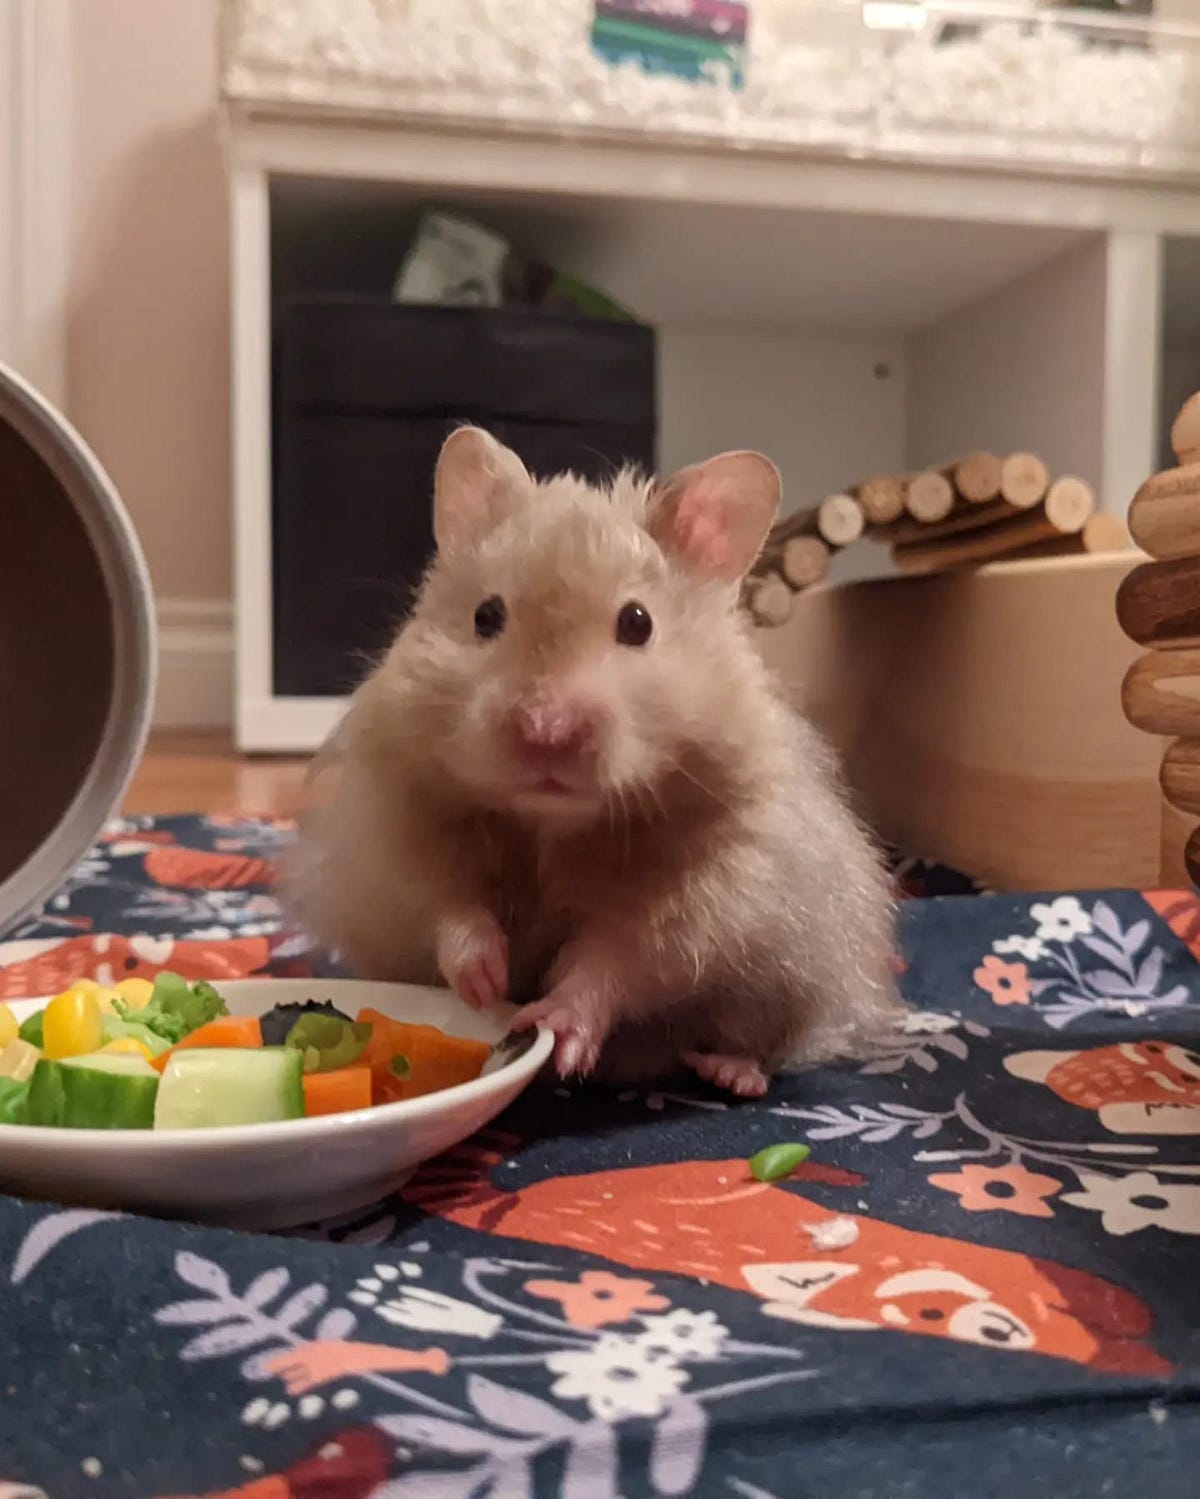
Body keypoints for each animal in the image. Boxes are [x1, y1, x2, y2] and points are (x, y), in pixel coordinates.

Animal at [283, 426, 902, 1097]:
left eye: (638, 622)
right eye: (485, 616)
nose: (545, 729)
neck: (553, 822)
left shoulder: (710, 885)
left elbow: (617, 960)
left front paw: (559, 1034)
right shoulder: (399, 829)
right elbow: (450, 904)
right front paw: (485, 983)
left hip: (797, 973)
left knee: (767, 1041)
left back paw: (729, 1074)